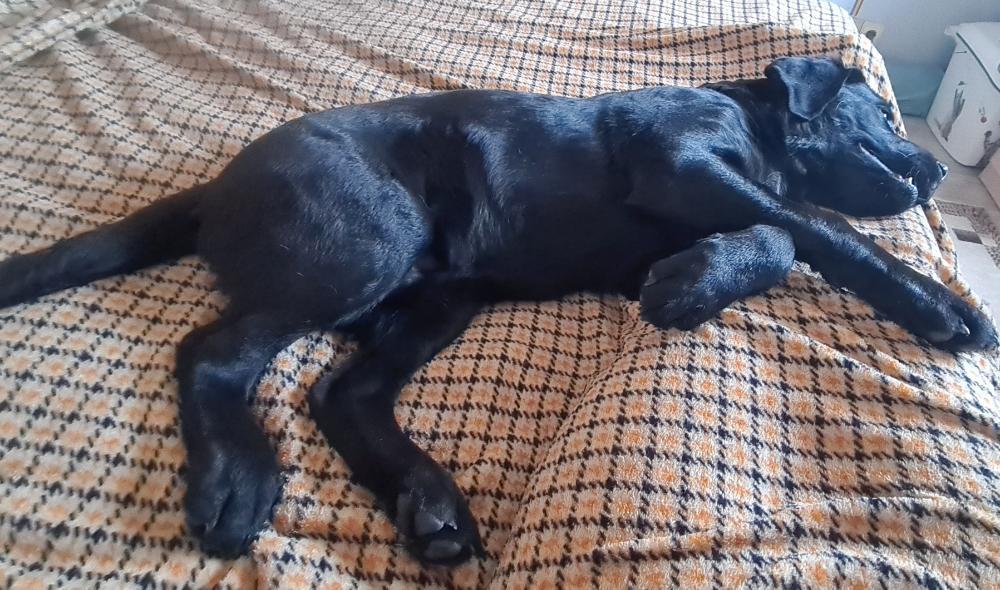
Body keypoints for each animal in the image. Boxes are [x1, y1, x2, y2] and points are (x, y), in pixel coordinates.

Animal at [0, 56, 996, 566]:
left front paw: (691, 280)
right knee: (213, 355)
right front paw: (944, 309)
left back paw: (430, 502)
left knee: (340, 395)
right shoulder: (681, 161)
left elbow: (784, 236)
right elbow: (816, 232)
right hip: (367, 239)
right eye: (884, 114)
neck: (756, 125)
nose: (937, 171)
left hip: (443, 297)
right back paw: (237, 478)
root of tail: (213, 189)